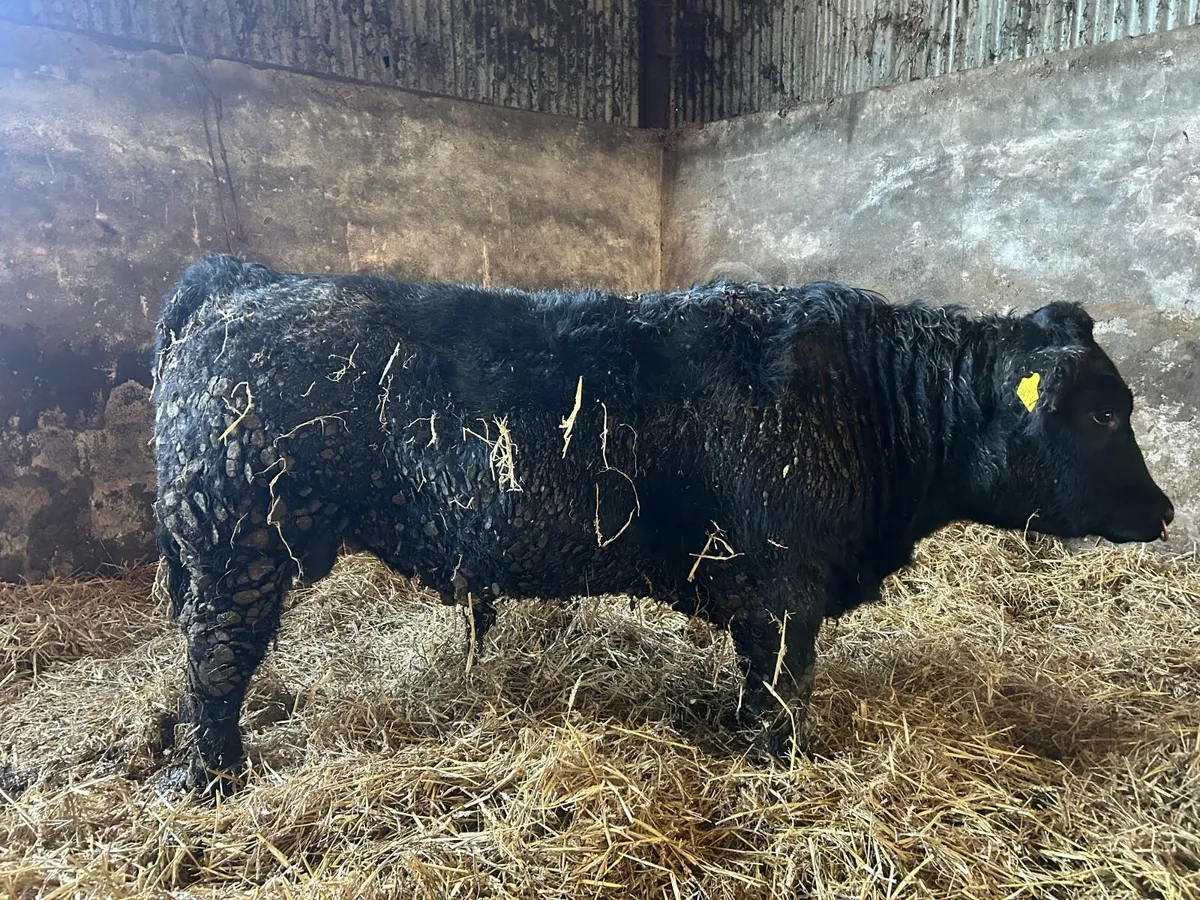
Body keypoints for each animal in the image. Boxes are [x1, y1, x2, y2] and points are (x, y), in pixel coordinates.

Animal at [151, 254, 1174, 795]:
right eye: (1104, 412)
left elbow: (758, 687)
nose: (1166, 510)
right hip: (235, 543)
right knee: (216, 664)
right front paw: (775, 768)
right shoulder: (785, 589)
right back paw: (212, 779)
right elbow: (782, 696)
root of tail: (242, 281)